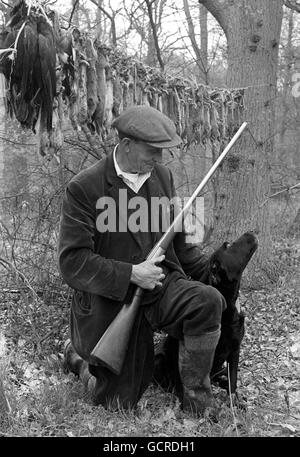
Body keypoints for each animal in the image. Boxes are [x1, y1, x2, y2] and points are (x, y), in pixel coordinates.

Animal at [152, 232, 258, 402]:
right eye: (228, 245)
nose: (250, 232)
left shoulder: (235, 349)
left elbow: (233, 380)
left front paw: (234, 401)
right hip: (159, 358)